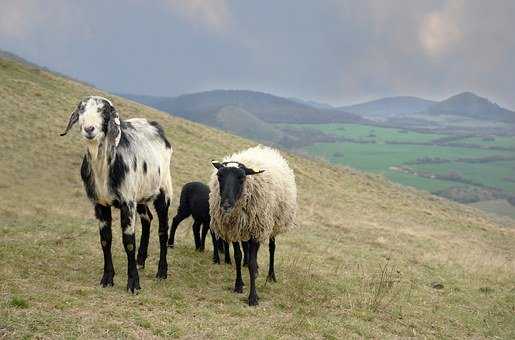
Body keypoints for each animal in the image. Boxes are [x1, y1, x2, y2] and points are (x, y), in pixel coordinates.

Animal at [59, 95, 174, 292]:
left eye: (103, 111)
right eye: (81, 110)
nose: (89, 129)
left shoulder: (127, 202)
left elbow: (128, 242)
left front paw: (133, 283)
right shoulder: (100, 204)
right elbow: (105, 240)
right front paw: (107, 278)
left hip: (163, 191)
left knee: (163, 230)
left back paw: (161, 272)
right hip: (140, 195)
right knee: (147, 218)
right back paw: (141, 260)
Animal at [210, 145, 298, 306]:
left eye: (241, 178)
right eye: (219, 176)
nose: (226, 205)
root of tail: (265, 149)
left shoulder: (258, 230)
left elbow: (251, 262)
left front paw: (253, 297)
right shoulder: (234, 230)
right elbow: (238, 256)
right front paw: (238, 285)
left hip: (271, 224)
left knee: (272, 248)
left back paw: (271, 275)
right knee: (247, 249)